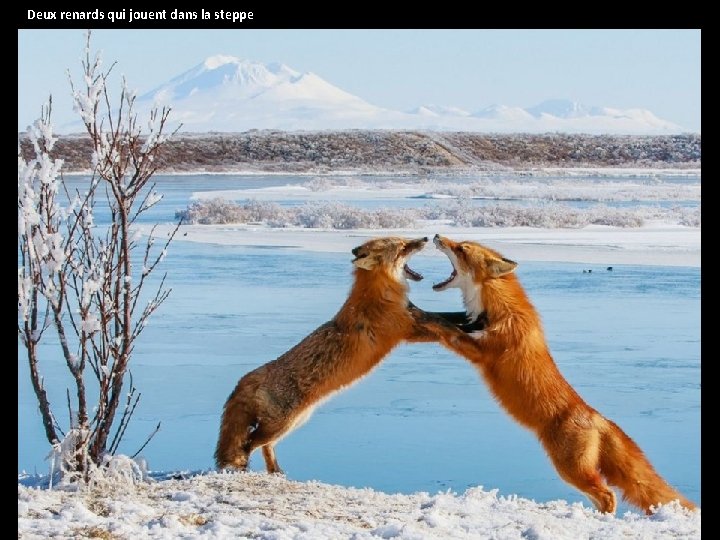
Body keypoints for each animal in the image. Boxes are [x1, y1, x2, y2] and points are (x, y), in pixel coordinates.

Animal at [217, 236, 476, 472]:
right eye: (403, 246)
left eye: (406, 240)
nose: (425, 238)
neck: (380, 294)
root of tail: (251, 376)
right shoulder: (407, 329)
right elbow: (446, 326)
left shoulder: (416, 315)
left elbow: (452, 317)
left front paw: (475, 321)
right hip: (282, 424)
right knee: (248, 444)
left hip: (293, 424)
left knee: (265, 446)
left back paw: (276, 472)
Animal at [430, 233, 696, 516]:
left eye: (461, 249)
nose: (436, 236)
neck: (497, 310)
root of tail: (597, 417)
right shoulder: (470, 327)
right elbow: (448, 319)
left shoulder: (482, 351)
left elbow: (446, 328)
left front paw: (422, 319)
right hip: (574, 471)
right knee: (602, 497)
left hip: (570, 469)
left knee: (608, 495)